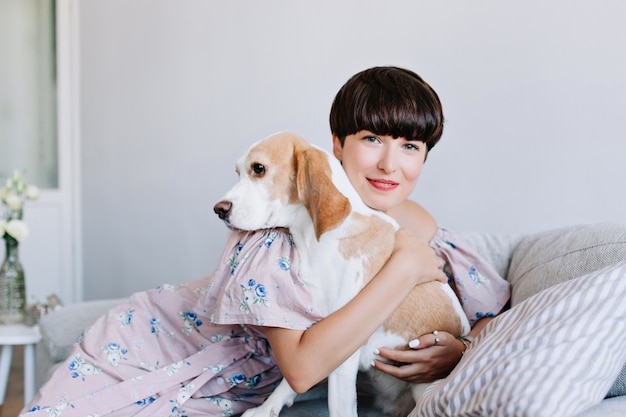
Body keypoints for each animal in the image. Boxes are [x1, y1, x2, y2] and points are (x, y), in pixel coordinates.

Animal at [212, 132, 466, 416]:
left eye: (259, 168)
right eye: (237, 172)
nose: (218, 209)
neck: (319, 238)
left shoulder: (343, 358)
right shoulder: (317, 338)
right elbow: (288, 381)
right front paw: (266, 408)